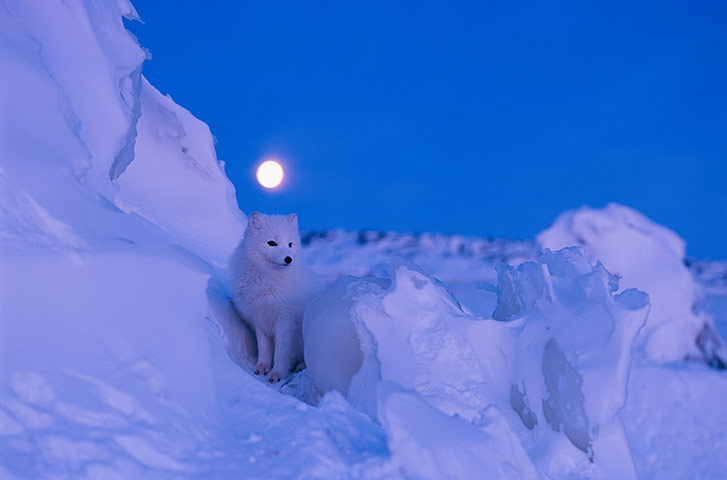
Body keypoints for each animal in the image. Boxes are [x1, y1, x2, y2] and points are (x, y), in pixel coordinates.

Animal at [229, 212, 318, 384]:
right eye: (272, 243)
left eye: (290, 244)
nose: (288, 259)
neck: (268, 284)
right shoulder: (260, 318)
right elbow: (264, 347)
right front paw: (262, 367)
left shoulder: (285, 321)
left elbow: (281, 352)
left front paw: (277, 373)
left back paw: (300, 365)